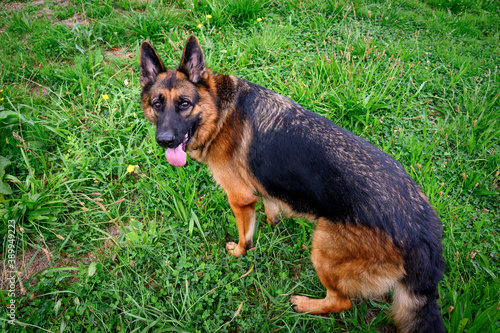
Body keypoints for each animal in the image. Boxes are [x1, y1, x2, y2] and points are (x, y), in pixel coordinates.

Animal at [140, 35, 446, 330]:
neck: (218, 110)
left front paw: (239, 252)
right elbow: (270, 207)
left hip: (322, 250)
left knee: (341, 302)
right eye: (157, 104)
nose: (164, 140)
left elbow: (244, 237)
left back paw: (306, 304)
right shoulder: (262, 190)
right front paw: (274, 224)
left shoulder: (239, 199)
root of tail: (424, 237)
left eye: (184, 104)